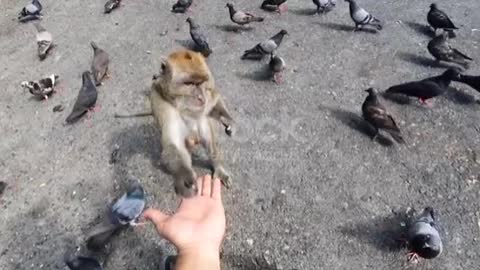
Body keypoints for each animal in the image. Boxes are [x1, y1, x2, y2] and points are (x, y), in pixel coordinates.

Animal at [141, 49, 232, 197]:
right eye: (189, 83)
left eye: (201, 82)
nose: (201, 97)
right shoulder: (160, 102)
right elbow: (173, 145)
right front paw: (186, 178)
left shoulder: (209, 90)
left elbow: (214, 97)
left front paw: (227, 119)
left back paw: (218, 167)